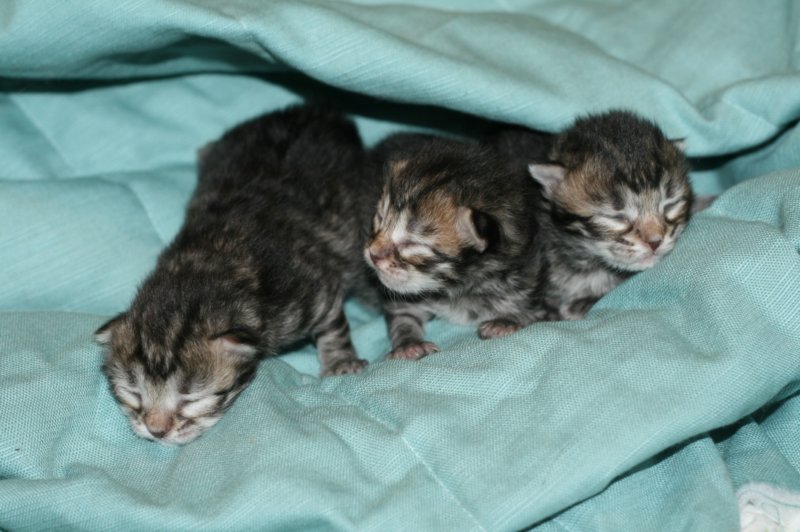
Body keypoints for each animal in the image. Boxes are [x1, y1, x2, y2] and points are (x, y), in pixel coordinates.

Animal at [95, 105, 382, 445]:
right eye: (133, 393)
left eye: (191, 399)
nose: (157, 431)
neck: (210, 261)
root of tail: (315, 111)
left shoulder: (315, 292)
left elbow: (333, 327)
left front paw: (340, 362)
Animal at [364, 133, 555, 360]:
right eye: (380, 218)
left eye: (412, 243)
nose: (373, 254)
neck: (458, 288)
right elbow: (403, 316)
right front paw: (409, 344)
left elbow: (536, 314)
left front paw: (509, 321)